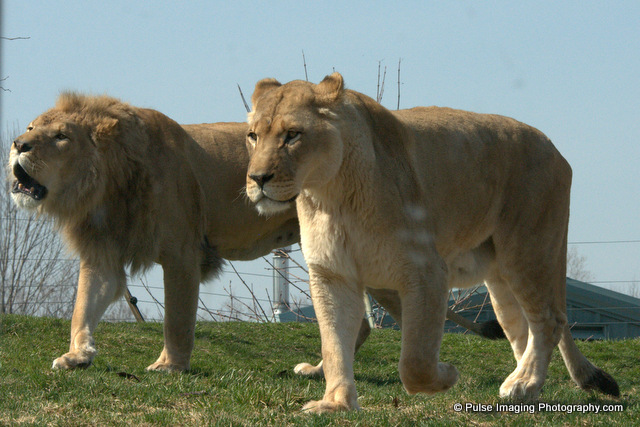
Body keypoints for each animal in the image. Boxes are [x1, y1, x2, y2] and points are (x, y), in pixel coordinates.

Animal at [8, 92, 492, 373]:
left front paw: (170, 366)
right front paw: (77, 355)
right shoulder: (103, 253)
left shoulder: (182, 252)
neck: (103, 188)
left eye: (61, 136)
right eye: (31, 128)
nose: (17, 144)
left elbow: (176, 320)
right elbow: (82, 308)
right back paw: (322, 371)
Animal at [245, 73, 619, 412]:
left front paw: (447, 374)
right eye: (253, 136)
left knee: (550, 320)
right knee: (523, 330)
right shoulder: (332, 275)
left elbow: (416, 360)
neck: (330, 196)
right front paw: (336, 403)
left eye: (292, 135)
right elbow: (334, 343)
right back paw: (525, 386)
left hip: (528, 253)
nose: (257, 178)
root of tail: (554, 149)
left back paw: (522, 384)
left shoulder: (426, 271)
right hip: (500, 278)